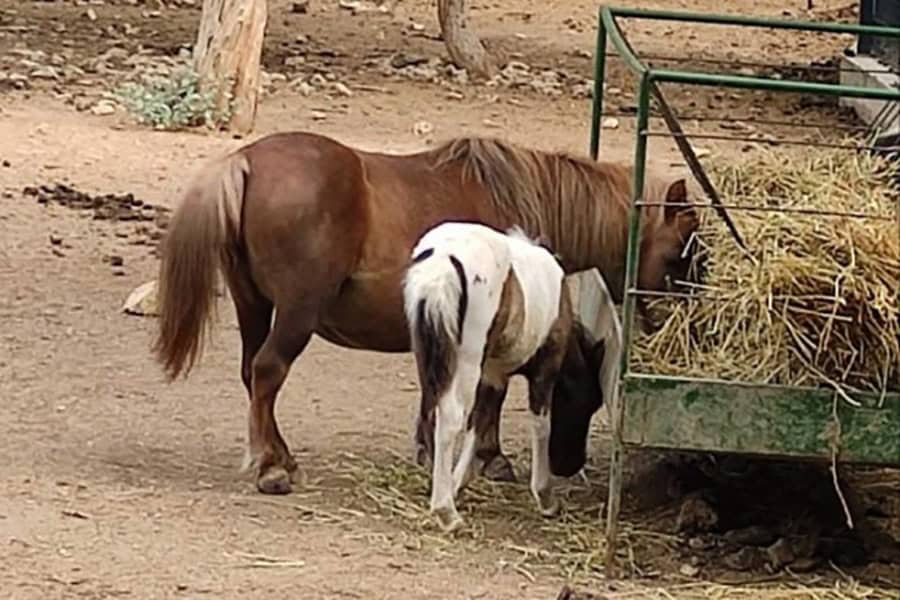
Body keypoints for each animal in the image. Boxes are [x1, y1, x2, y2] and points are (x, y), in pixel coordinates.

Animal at [155, 134, 700, 494]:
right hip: (295, 314)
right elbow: (489, 395)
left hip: (253, 305)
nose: (686, 326)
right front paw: (489, 459)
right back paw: (272, 467)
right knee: (268, 372)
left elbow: (433, 386)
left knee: (253, 374)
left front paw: (428, 449)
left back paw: (279, 456)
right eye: (680, 256)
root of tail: (246, 160)